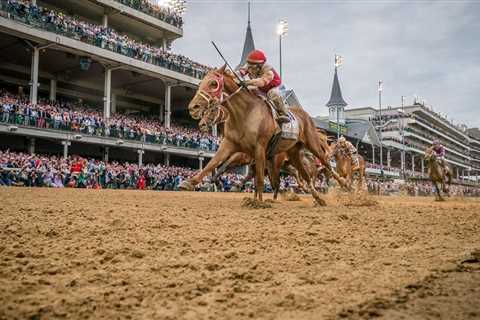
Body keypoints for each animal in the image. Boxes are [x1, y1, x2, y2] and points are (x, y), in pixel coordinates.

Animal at [178, 65, 346, 205]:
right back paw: (316, 197)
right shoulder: (230, 145)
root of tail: (306, 116)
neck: (245, 113)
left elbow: (258, 177)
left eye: (213, 83)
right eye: (201, 82)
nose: (193, 108)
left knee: (324, 163)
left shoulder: (258, 148)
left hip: (311, 144)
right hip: (293, 153)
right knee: (302, 175)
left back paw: (344, 184)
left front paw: (258, 202)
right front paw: (191, 182)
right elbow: (214, 163)